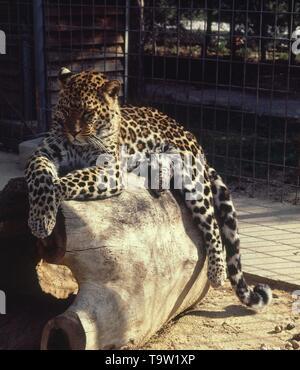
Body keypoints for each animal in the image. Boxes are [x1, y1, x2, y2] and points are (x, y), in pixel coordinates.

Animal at [25, 68, 274, 310]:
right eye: (66, 110)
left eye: (88, 114)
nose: (73, 132)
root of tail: (189, 134)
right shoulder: (42, 154)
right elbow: (41, 179)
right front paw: (40, 218)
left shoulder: (110, 170)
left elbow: (66, 181)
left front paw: (43, 220)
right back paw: (159, 180)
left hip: (194, 183)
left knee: (213, 226)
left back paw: (217, 272)